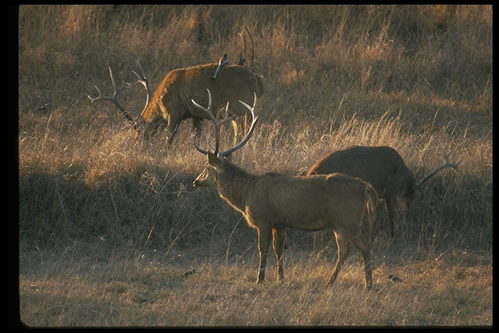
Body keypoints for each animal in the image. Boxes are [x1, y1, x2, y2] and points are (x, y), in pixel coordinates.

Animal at [87, 59, 264, 144]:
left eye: (140, 133)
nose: (139, 146)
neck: (160, 101)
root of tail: (258, 80)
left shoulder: (174, 112)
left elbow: (168, 139)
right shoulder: (197, 114)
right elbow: (196, 136)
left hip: (240, 108)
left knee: (242, 132)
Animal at [191, 89, 378, 288]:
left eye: (207, 168)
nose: (195, 181)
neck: (247, 194)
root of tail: (365, 187)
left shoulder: (264, 218)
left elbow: (263, 249)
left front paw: (260, 278)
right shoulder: (279, 223)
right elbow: (279, 250)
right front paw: (280, 277)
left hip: (348, 218)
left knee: (364, 246)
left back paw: (368, 283)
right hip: (338, 223)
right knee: (344, 249)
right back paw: (330, 281)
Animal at [308, 145, 464, 246]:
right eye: (412, 196)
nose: (408, 212)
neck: (403, 178)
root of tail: (313, 170)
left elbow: (372, 217)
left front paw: (372, 238)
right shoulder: (391, 192)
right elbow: (390, 216)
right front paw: (392, 238)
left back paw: (319, 246)